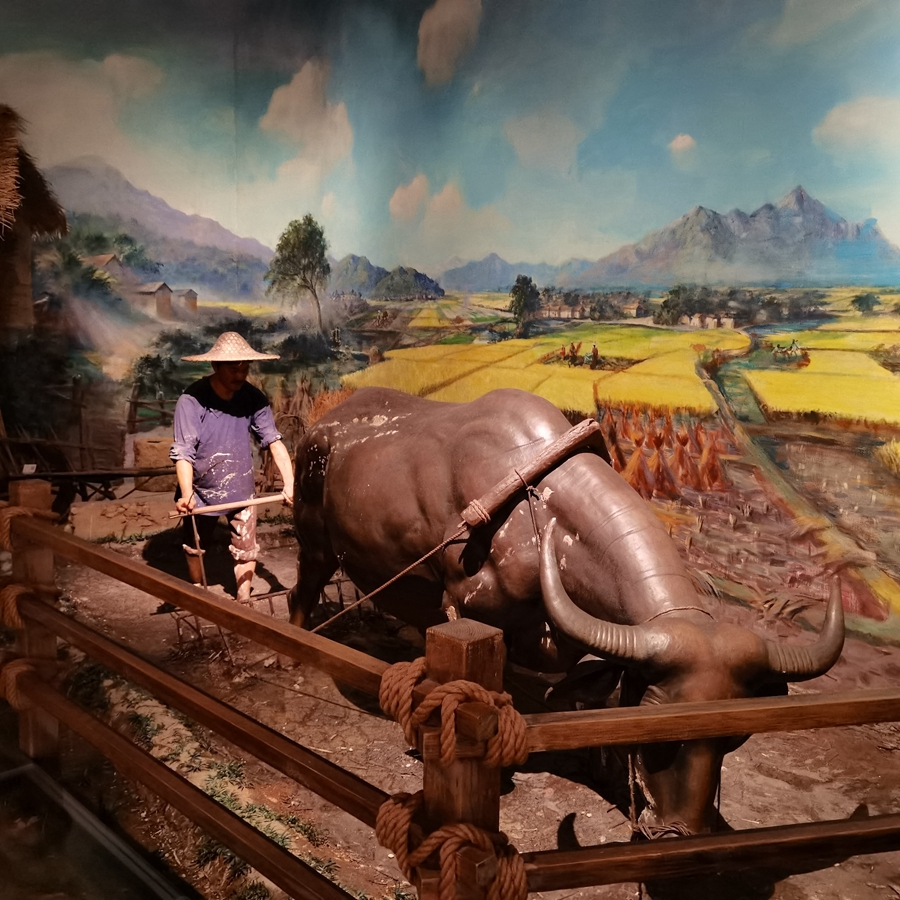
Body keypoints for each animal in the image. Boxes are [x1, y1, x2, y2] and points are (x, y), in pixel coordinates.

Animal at [289, 387, 844, 836]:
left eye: (735, 736)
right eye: (656, 723)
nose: (679, 830)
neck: (543, 515)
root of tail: (322, 424)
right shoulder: (465, 608)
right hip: (313, 542)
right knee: (301, 595)